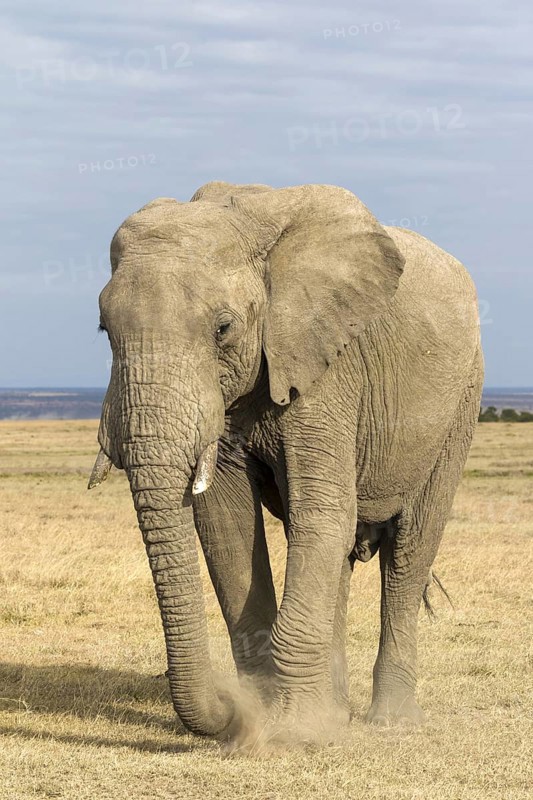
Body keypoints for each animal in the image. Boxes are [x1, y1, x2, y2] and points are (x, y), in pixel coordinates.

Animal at [89, 181, 483, 744]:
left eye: (223, 328)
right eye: (104, 330)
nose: (231, 712)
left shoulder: (329, 367)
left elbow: (324, 513)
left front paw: (293, 732)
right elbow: (227, 523)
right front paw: (268, 715)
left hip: (461, 403)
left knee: (410, 549)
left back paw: (391, 721)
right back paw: (336, 714)